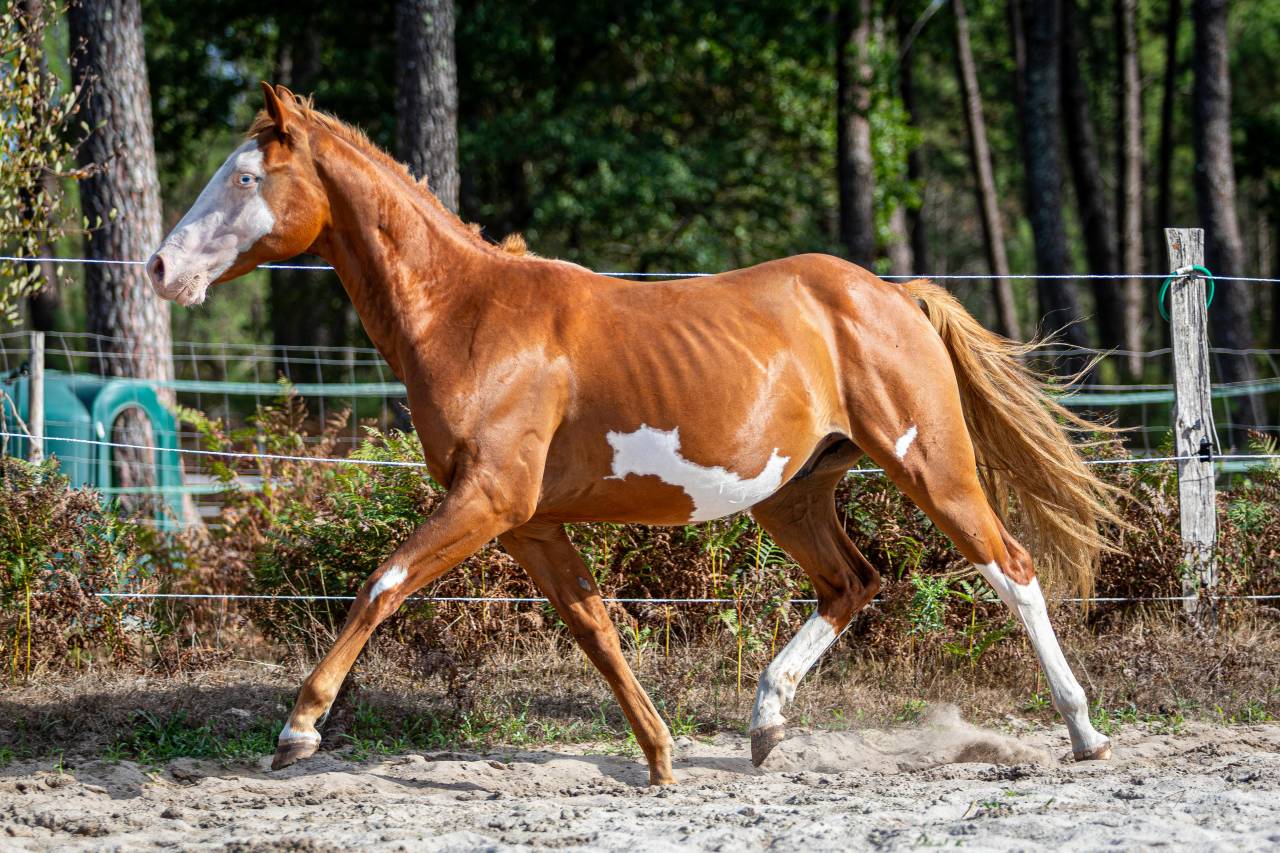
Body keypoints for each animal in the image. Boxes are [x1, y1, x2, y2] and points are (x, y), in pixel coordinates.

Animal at [147, 83, 1120, 785]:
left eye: (244, 178)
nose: (158, 268)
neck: (469, 316)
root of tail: (892, 293)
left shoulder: (486, 500)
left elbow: (380, 584)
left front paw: (298, 729)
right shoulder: (529, 523)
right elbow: (595, 627)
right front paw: (658, 757)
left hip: (930, 464)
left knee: (1012, 569)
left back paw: (1084, 731)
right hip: (793, 493)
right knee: (853, 582)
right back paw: (765, 724)